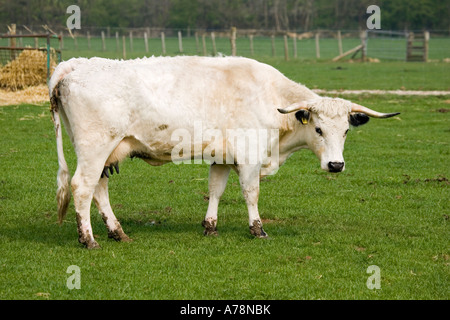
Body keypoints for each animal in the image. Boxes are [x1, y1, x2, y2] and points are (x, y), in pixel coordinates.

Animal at [49, 56, 400, 249]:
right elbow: (251, 192)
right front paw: (258, 230)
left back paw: (117, 232)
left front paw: (210, 227)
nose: (336, 165)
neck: (270, 97)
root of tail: (76, 64)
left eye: (345, 131)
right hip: (95, 148)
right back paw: (88, 239)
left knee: (99, 189)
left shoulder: (221, 158)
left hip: (104, 153)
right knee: (82, 187)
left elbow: (215, 190)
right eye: (318, 130)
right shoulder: (249, 157)